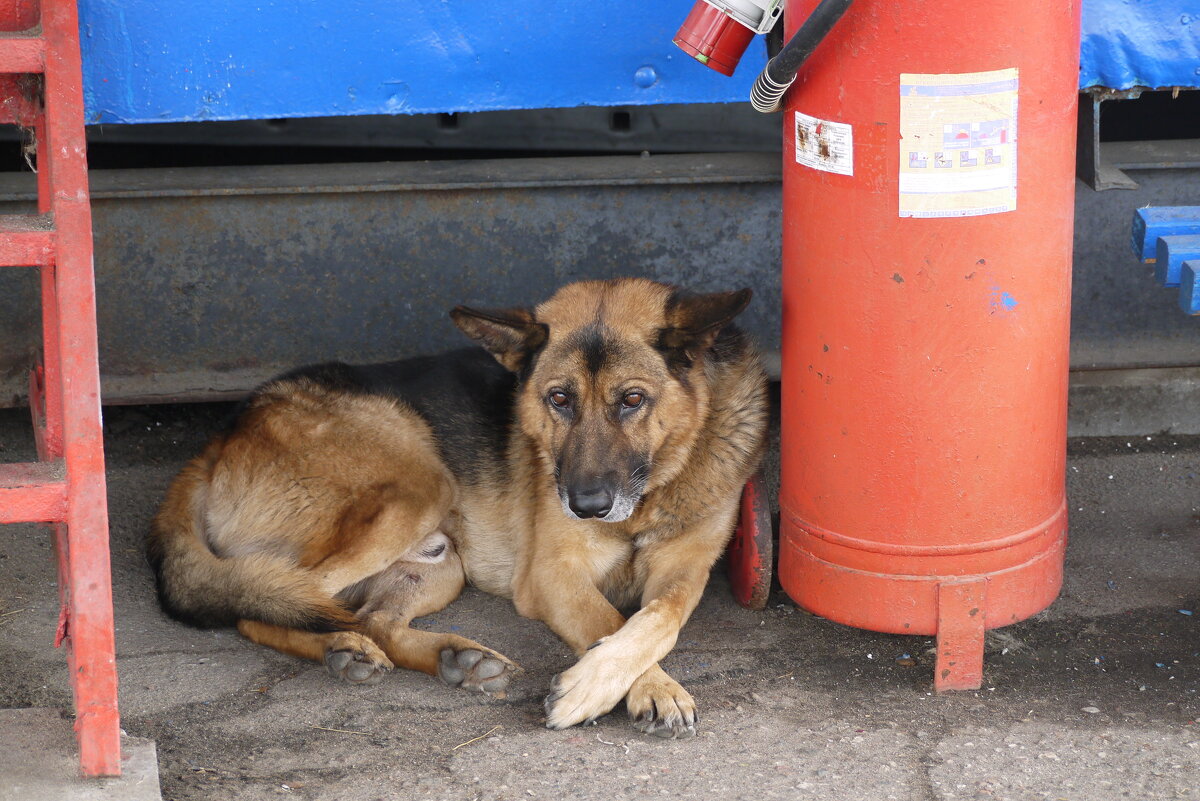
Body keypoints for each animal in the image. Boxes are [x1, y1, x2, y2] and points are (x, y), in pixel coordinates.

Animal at [150, 276, 768, 738]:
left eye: (633, 399)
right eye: (559, 399)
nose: (586, 505)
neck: (654, 491)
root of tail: (220, 438)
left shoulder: (687, 570)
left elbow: (660, 616)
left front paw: (634, 679)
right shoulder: (553, 574)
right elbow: (611, 620)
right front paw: (620, 687)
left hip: (439, 563)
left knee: (372, 618)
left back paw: (455, 656)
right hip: (417, 491)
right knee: (268, 601)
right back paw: (342, 648)